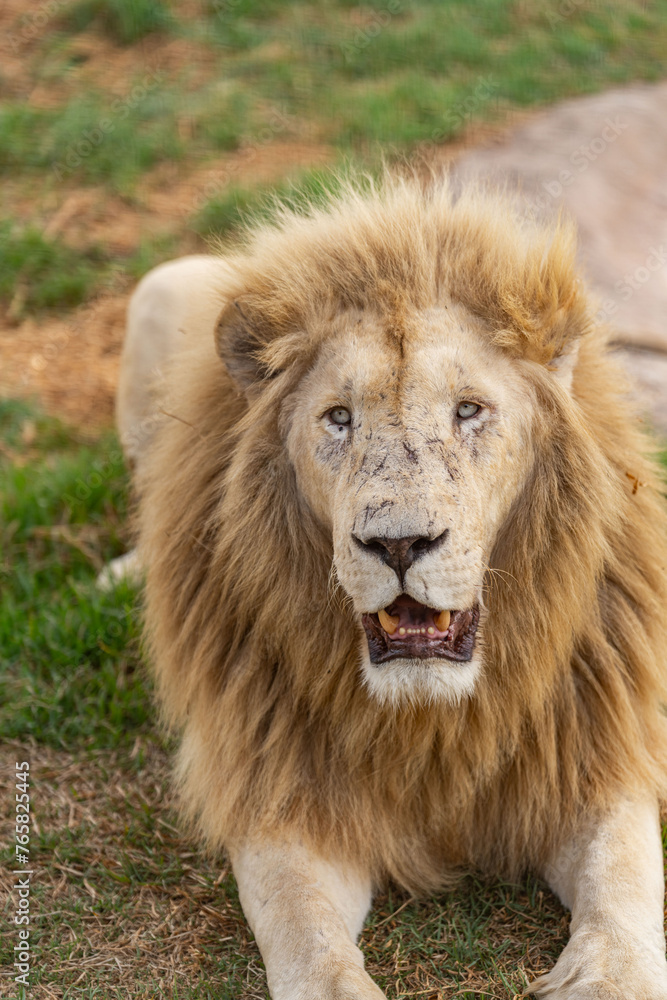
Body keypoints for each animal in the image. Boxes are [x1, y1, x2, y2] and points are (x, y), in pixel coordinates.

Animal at [121, 176, 667, 999]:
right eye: (338, 418)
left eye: (469, 410)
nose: (399, 543)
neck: (432, 720)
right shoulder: (283, 796)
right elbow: (306, 936)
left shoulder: (592, 755)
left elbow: (625, 878)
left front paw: (606, 979)